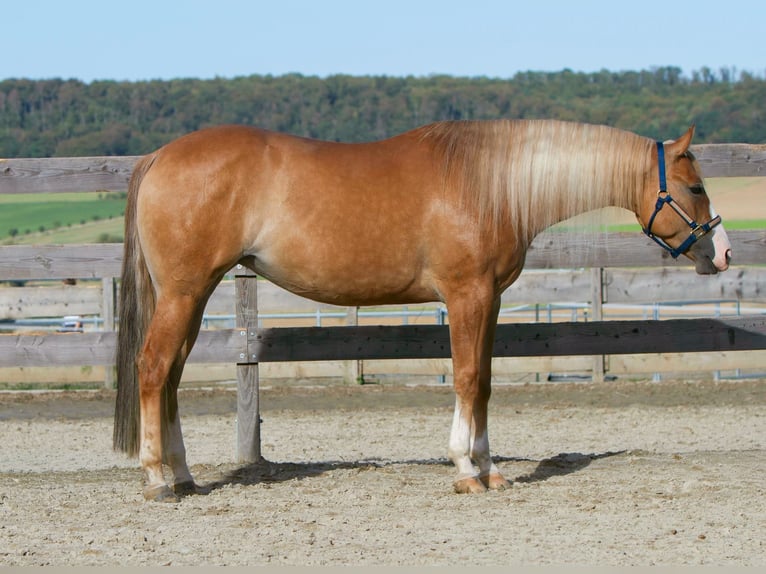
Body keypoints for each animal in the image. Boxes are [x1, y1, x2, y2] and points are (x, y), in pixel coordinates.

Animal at [112, 119, 732, 502]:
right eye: (695, 188)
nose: (723, 254)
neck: (488, 184)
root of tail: (159, 156)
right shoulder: (466, 294)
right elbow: (466, 377)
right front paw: (466, 470)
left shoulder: (490, 298)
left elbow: (484, 383)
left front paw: (490, 469)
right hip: (185, 292)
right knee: (153, 369)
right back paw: (156, 479)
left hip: (193, 296)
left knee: (171, 377)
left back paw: (184, 475)